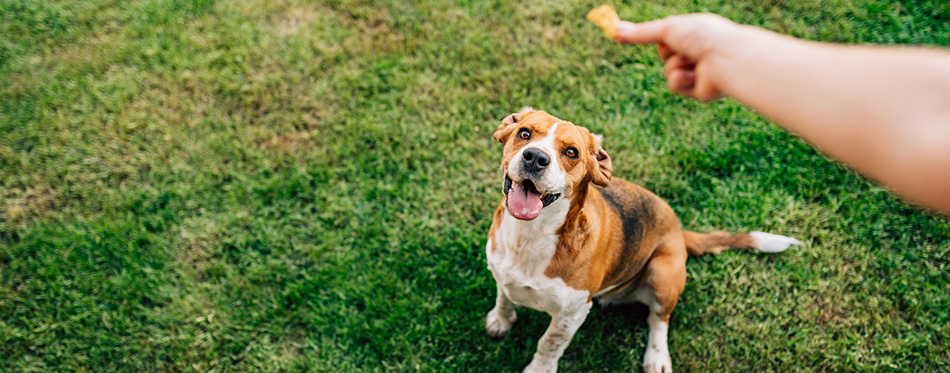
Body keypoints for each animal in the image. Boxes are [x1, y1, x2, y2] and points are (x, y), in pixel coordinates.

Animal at [484, 107, 804, 372]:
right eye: (524, 133)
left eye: (571, 152)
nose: (535, 157)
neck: (530, 236)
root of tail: (679, 231)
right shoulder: (500, 273)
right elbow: (504, 298)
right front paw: (501, 320)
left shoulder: (571, 315)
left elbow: (548, 344)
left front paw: (538, 369)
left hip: (663, 274)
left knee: (659, 320)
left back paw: (657, 357)